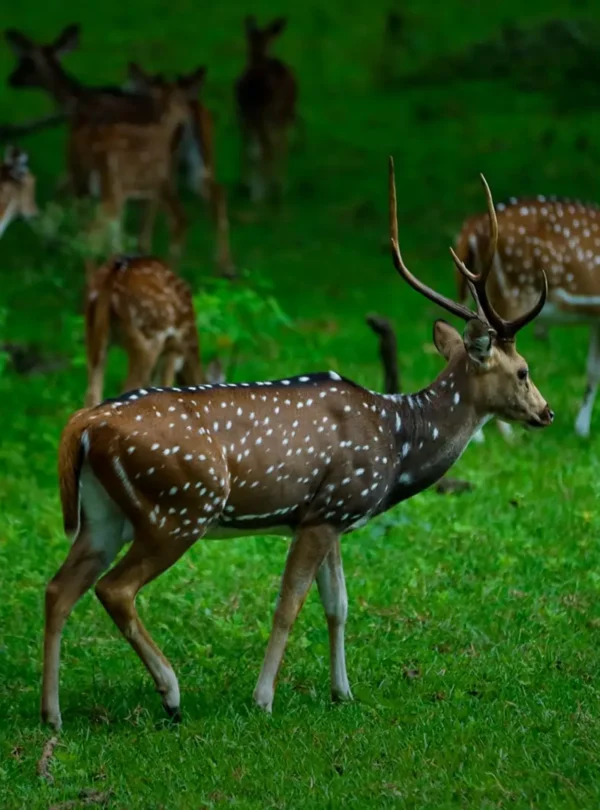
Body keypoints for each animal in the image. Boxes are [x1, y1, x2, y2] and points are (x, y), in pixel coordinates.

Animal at [40, 159, 553, 730]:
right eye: (523, 370)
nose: (546, 412)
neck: (398, 442)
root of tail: (83, 425)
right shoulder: (325, 511)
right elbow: (289, 605)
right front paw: (263, 698)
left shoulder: (330, 514)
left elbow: (339, 605)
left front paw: (343, 693)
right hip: (178, 507)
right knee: (115, 589)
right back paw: (171, 694)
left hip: (103, 514)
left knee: (58, 589)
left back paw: (52, 713)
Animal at [235, 16, 297, 202]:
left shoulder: (242, 115)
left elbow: (251, 149)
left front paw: (249, 186)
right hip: (277, 114)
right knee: (276, 144)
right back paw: (277, 187)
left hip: (262, 115)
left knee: (266, 146)